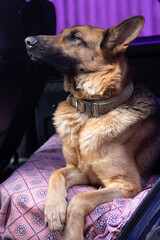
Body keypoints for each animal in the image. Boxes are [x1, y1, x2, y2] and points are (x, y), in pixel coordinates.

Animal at [25, 15, 160, 239]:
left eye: (75, 37)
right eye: (61, 32)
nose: (27, 40)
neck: (88, 115)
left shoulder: (126, 184)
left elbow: (81, 198)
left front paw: (71, 233)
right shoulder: (81, 171)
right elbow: (57, 173)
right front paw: (54, 209)